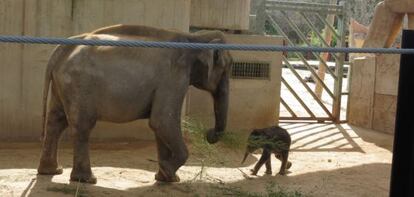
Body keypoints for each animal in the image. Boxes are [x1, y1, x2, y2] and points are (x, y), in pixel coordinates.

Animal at [37, 24, 233, 183]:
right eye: (226, 68)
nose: (209, 134)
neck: (193, 38)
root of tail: (62, 48)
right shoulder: (174, 77)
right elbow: (162, 121)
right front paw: (167, 172)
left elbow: (159, 126)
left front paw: (167, 178)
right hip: (79, 85)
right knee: (82, 126)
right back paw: (86, 180)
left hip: (63, 84)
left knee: (56, 121)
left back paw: (52, 171)